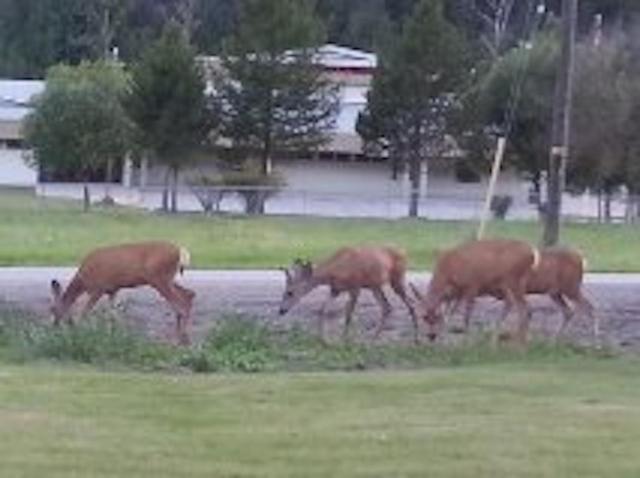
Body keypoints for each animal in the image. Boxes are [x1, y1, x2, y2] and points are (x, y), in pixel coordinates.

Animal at [49, 243, 195, 344]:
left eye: (53, 309)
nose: (54, 326)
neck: (83, 279)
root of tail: (180, 251)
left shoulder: (98, 288)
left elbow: (85, 312)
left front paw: (79, 333)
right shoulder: (112, 290)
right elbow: (112, 316)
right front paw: (111, 336)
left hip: (160, 279)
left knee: (179, 304)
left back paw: (178, 339)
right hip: (167, 279)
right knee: (189, 294)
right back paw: (184, 338)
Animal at [276, 246, 418, 344]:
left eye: (290, 292)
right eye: (285, 291)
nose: (281, 310)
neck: (336, 269)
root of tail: (404, 253)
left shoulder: (355, 287)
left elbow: (348, 314)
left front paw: (344, 340)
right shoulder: (335, 290)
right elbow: (322, 310)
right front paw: (322, 339)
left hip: (397, 279)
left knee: (411, 304)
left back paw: (416, 340)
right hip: (375, 286)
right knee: (387, 307)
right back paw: (371, 340)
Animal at [410, 238, 540, 344]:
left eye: (437, 316)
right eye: (424, 316)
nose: (431, 336)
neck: (449, 272)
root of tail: (532, 252)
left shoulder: (472, 286)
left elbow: (466, 316)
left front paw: (466, 342)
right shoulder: (456, 294)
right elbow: (449, 315)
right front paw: (443, 341)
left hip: (513, 280)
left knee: (524, 309)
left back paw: (518, 345)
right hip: (510, 285)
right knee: (516, 305)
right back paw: (499, 341)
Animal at [444, 246, 600, 344]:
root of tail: (582, 259)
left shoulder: (506, 291)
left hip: (571, 287)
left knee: (589, 308)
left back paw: (595, 343)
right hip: (555, 292)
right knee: (568, 311)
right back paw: (553, 341)